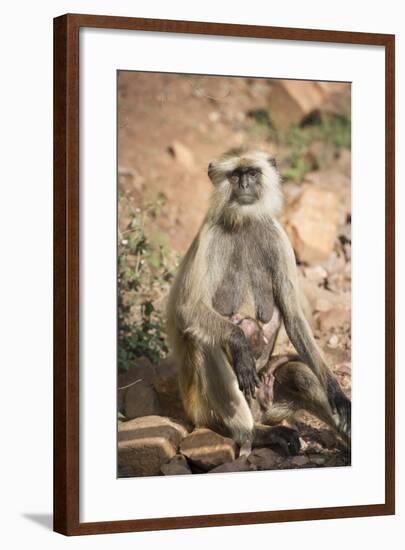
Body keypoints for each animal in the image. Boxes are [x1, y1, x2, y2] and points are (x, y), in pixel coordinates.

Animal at [166, 148, 348, 458]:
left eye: (252, 173)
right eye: (235, 175)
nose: (244, 184)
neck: (245, 222)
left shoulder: (276, 234)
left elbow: (293, 316)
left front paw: (337, 391)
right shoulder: (211, 236)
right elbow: (187, 309)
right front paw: (240, 343)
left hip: (270, 400)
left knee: (298, 372)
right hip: (202, 411)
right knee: (204, 341)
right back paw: (252, 434)